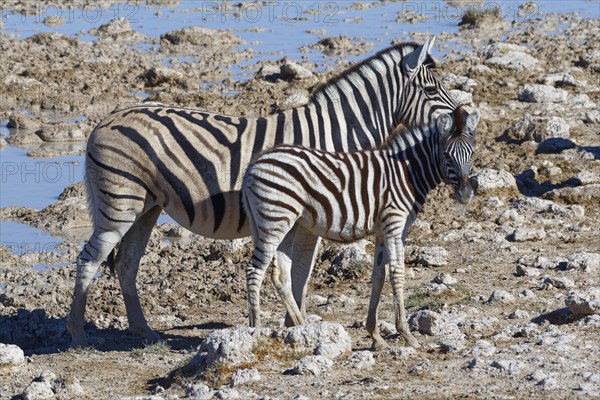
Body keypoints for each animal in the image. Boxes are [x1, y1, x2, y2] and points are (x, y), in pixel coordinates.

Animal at [241, 108, 480, 348]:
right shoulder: (395, 223)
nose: (466, 194)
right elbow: (397, 272)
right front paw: (407, 334)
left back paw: (302, 327)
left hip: (288, 223)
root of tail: (254, 164)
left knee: (280, 275)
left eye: (471, 154)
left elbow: (379, 276)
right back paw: (255, 330)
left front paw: (375, 335)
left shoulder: (383, 230)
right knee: (254, 271)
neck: (407, 172)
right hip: (274, 220)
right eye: (447, 155)